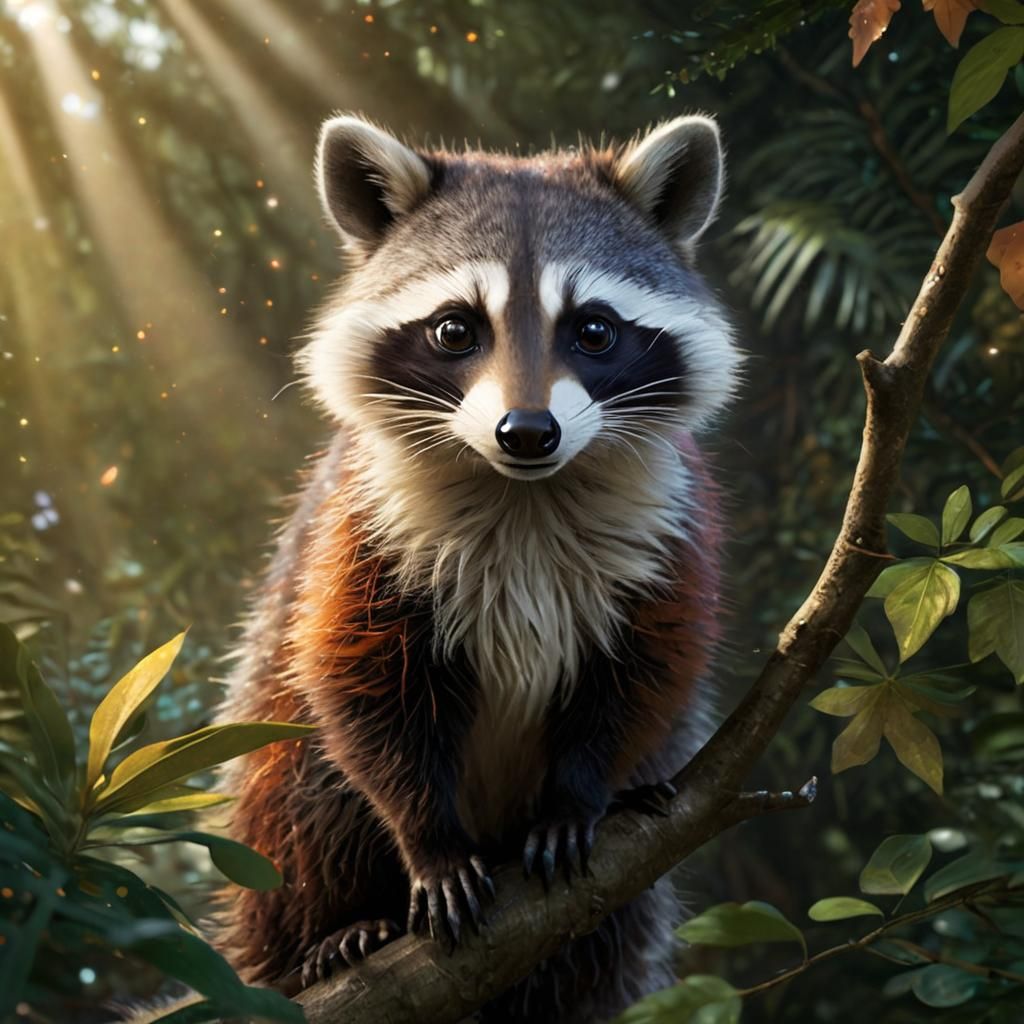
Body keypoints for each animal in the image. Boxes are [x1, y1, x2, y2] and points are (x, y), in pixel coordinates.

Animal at [217, 112, 741, 1023]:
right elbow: (356, 676)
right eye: (456, 329)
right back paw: (336, 926)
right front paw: (427, 839)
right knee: (306, 780)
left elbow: (651, 664)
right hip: (270, 806)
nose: (527, 432)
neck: (522, 490)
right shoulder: (362, 525)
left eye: (594, 330)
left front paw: (579, 792)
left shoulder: (670, 522)